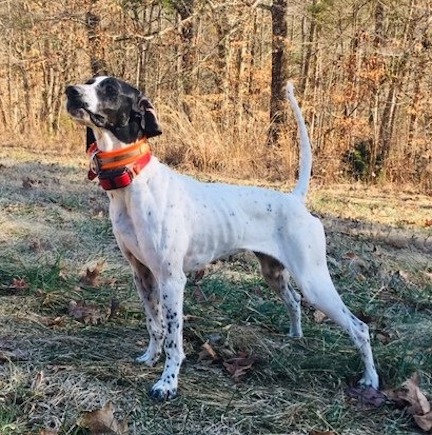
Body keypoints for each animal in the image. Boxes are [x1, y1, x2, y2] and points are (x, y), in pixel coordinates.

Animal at [65, 77, 378, 402]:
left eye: (110, 89)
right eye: (89, 81)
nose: (70, 91)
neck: (134, 181)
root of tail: (295, 200)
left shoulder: (171, 279)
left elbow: (173, 339)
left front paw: (168, 383)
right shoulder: (143, 275)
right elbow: (155, 325)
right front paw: (150, 357)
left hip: (314, 283)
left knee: (359, 327)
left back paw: (370, 379)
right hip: (273, 273)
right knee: (293, 301)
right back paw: (295, 336)